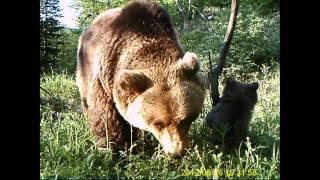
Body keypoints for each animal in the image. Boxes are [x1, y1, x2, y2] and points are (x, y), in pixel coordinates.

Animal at [76, 0, 205, 158]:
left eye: (186, 119)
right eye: (158, 123)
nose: (177, 152)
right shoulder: (105, 73)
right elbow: (106, 116)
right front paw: (114, 147)